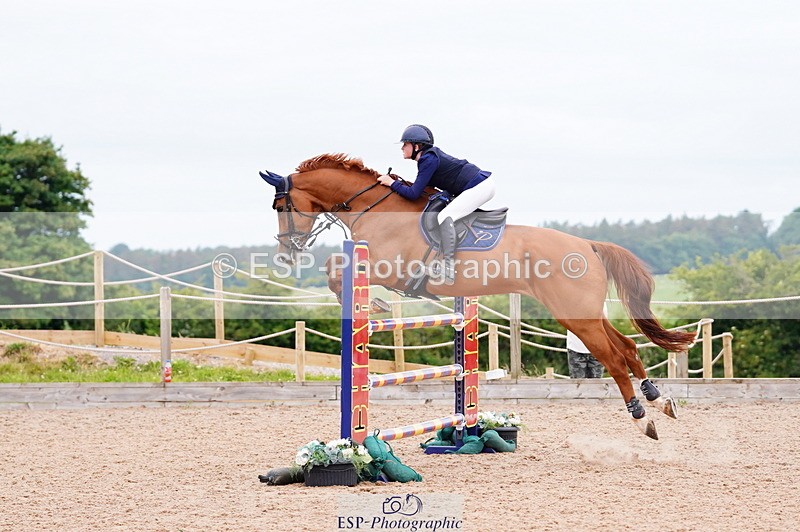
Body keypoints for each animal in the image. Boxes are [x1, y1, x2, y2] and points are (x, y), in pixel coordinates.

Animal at [260, 153, 696, 440]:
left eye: (281, 206)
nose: (286, 253)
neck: (375, 207)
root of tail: (587, 245)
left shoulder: (387, 265)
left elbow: (336, 269)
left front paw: (376, 304)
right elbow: (334, 270)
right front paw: (375, 304)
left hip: (574, 315)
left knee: (613, 357)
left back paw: (641, 416)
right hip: (585, 312)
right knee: (627, 347)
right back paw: (660, 400)